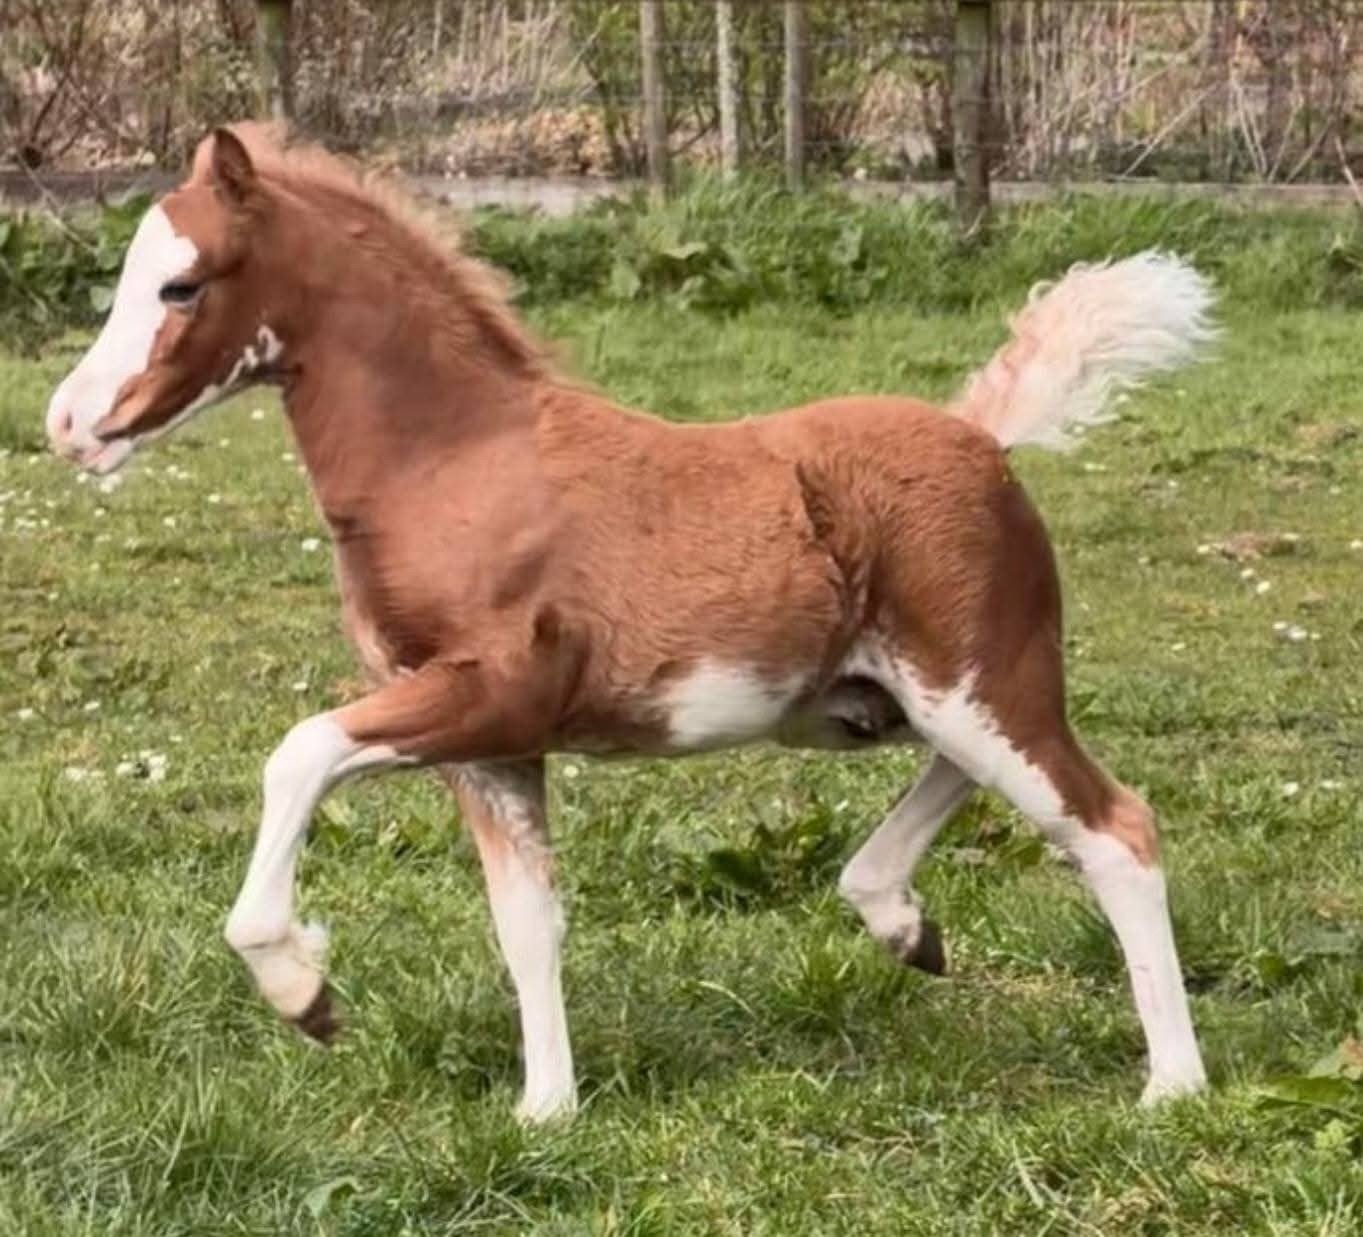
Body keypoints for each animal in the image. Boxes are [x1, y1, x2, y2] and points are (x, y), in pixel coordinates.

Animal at [45, 123, 1215, 1123]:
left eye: (181, 284)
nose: (68, 424)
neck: (455, 461)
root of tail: (983, 438)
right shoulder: (494, 746)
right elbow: (526, 923)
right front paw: (546, 1111)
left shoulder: (487, 691)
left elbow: (298, 753)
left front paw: (305, 992)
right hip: (886, 700)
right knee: (982, 786)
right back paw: (901, 922)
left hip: (977, 683)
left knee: (1112, 827)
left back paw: (1173, 1085)